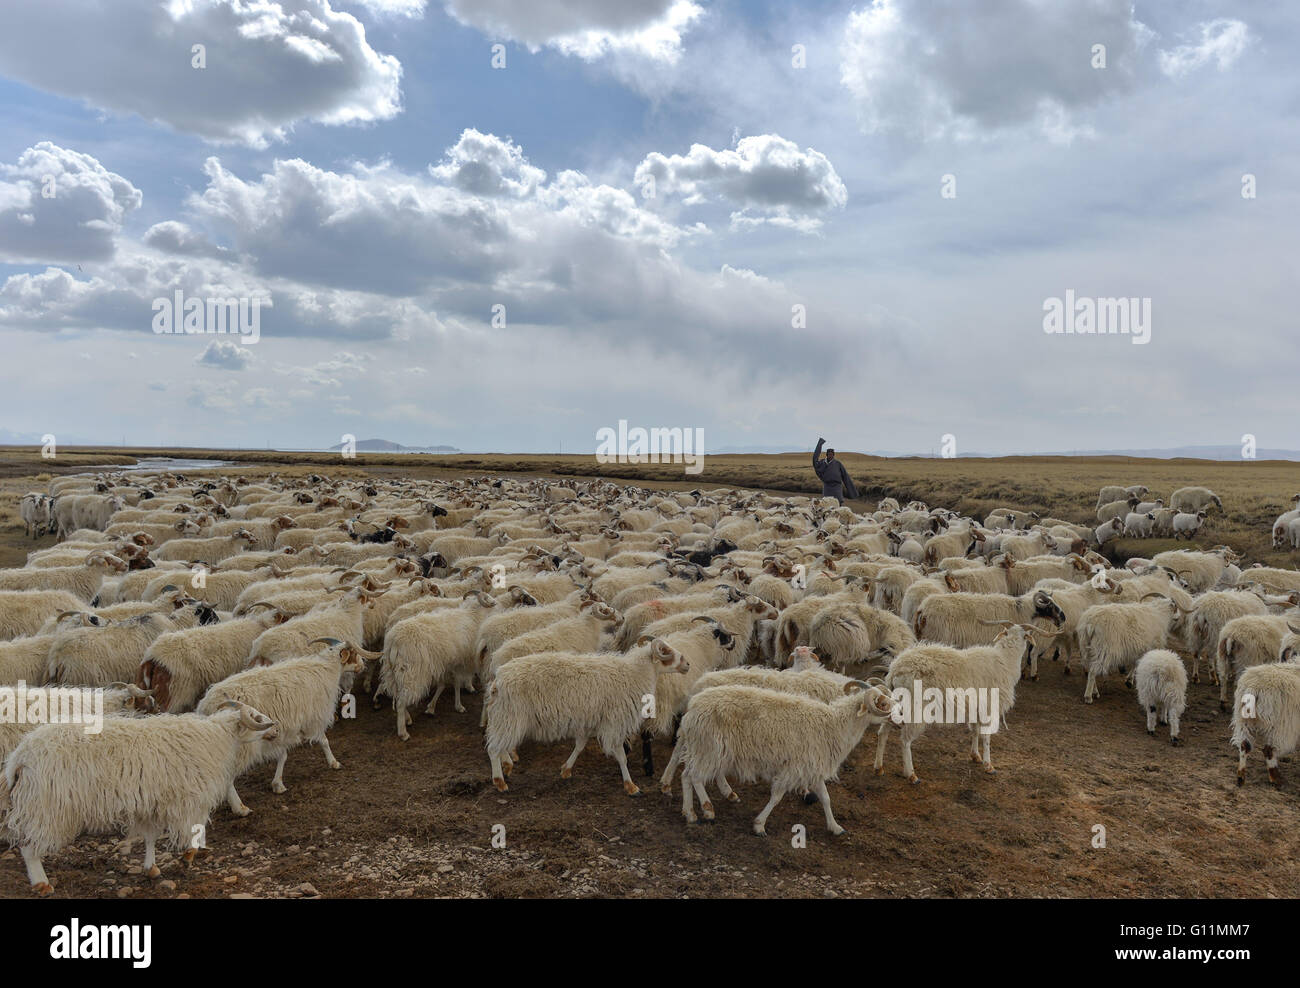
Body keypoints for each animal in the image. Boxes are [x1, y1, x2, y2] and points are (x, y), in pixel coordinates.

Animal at [1, 696, 276, 894]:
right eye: (256, 716)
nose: (275, 729)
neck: (219, 738)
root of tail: (21, 756)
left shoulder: (150, 803)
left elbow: (150, 837)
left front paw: (151, 868)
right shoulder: (189, 799)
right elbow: (193, 830)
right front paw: (188, 856)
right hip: (49, 808)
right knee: (29, 848)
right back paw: (42, 884)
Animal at [486, 639, 691, 795]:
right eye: (665, 651)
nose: (687, 664)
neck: (635, 674)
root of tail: (498, 680)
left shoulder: (589, 721)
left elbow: (580, 746)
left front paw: (566, 769)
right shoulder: (614, 723)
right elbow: (621, 756)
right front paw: (631, 786)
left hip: (505, 717)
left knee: (499, 743)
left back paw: (507, 765)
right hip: (511, 716)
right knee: (494, 749)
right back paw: (499, 781)